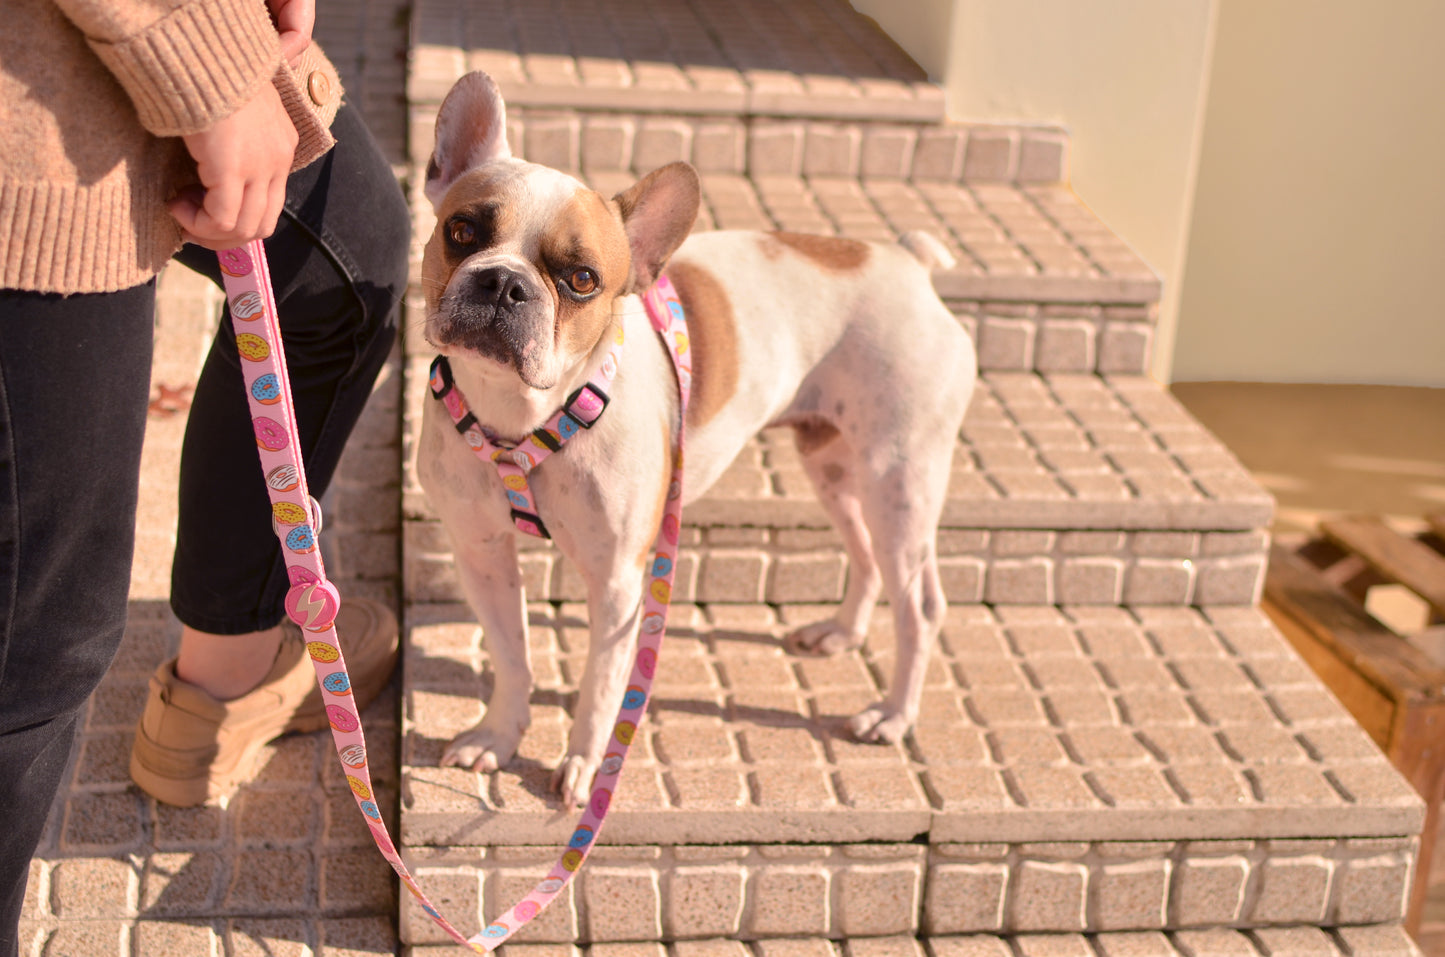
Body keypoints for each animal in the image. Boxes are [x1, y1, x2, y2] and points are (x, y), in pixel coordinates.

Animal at [421, 73, 982, 809]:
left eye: (582, 280)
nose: (504, 282)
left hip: (901, 480)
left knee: (919, 603)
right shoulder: (481, 552)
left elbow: (602, 686)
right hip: (833, 464)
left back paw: (892, 714)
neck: (519, 414)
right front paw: (499, 734)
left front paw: (584, 767)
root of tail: (910, 265)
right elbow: (511, 655)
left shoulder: (617, 584)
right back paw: (840, 632)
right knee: (862, 550)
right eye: (460, 231)